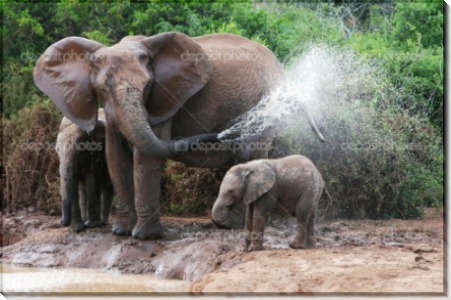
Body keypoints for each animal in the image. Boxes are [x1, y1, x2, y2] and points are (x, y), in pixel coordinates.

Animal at [34, 32, 324, 239]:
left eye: (148, 87)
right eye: (102, 89)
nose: (218, 134)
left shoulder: (163, 101)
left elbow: (146, 156)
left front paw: (145, 237)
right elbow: (115, 156)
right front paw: (121, 232)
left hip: (265, 104)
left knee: (248, 153)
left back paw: (229, 223)